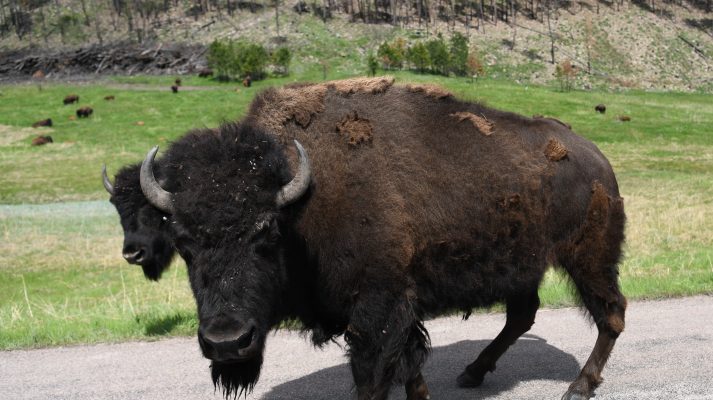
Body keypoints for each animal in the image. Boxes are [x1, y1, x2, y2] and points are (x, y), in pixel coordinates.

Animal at [104, 77, 626, 400]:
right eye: (184, 242)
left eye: (266, 232)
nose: (227, 342)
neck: (301, 200)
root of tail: (595, 157)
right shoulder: (399, 312)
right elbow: (411, 371)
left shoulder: (377, 309)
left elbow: (374, 376)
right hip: (523, 264)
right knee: (523, 314)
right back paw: (472, 373)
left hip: (589, 257)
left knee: (611, 313)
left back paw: (579, 386)